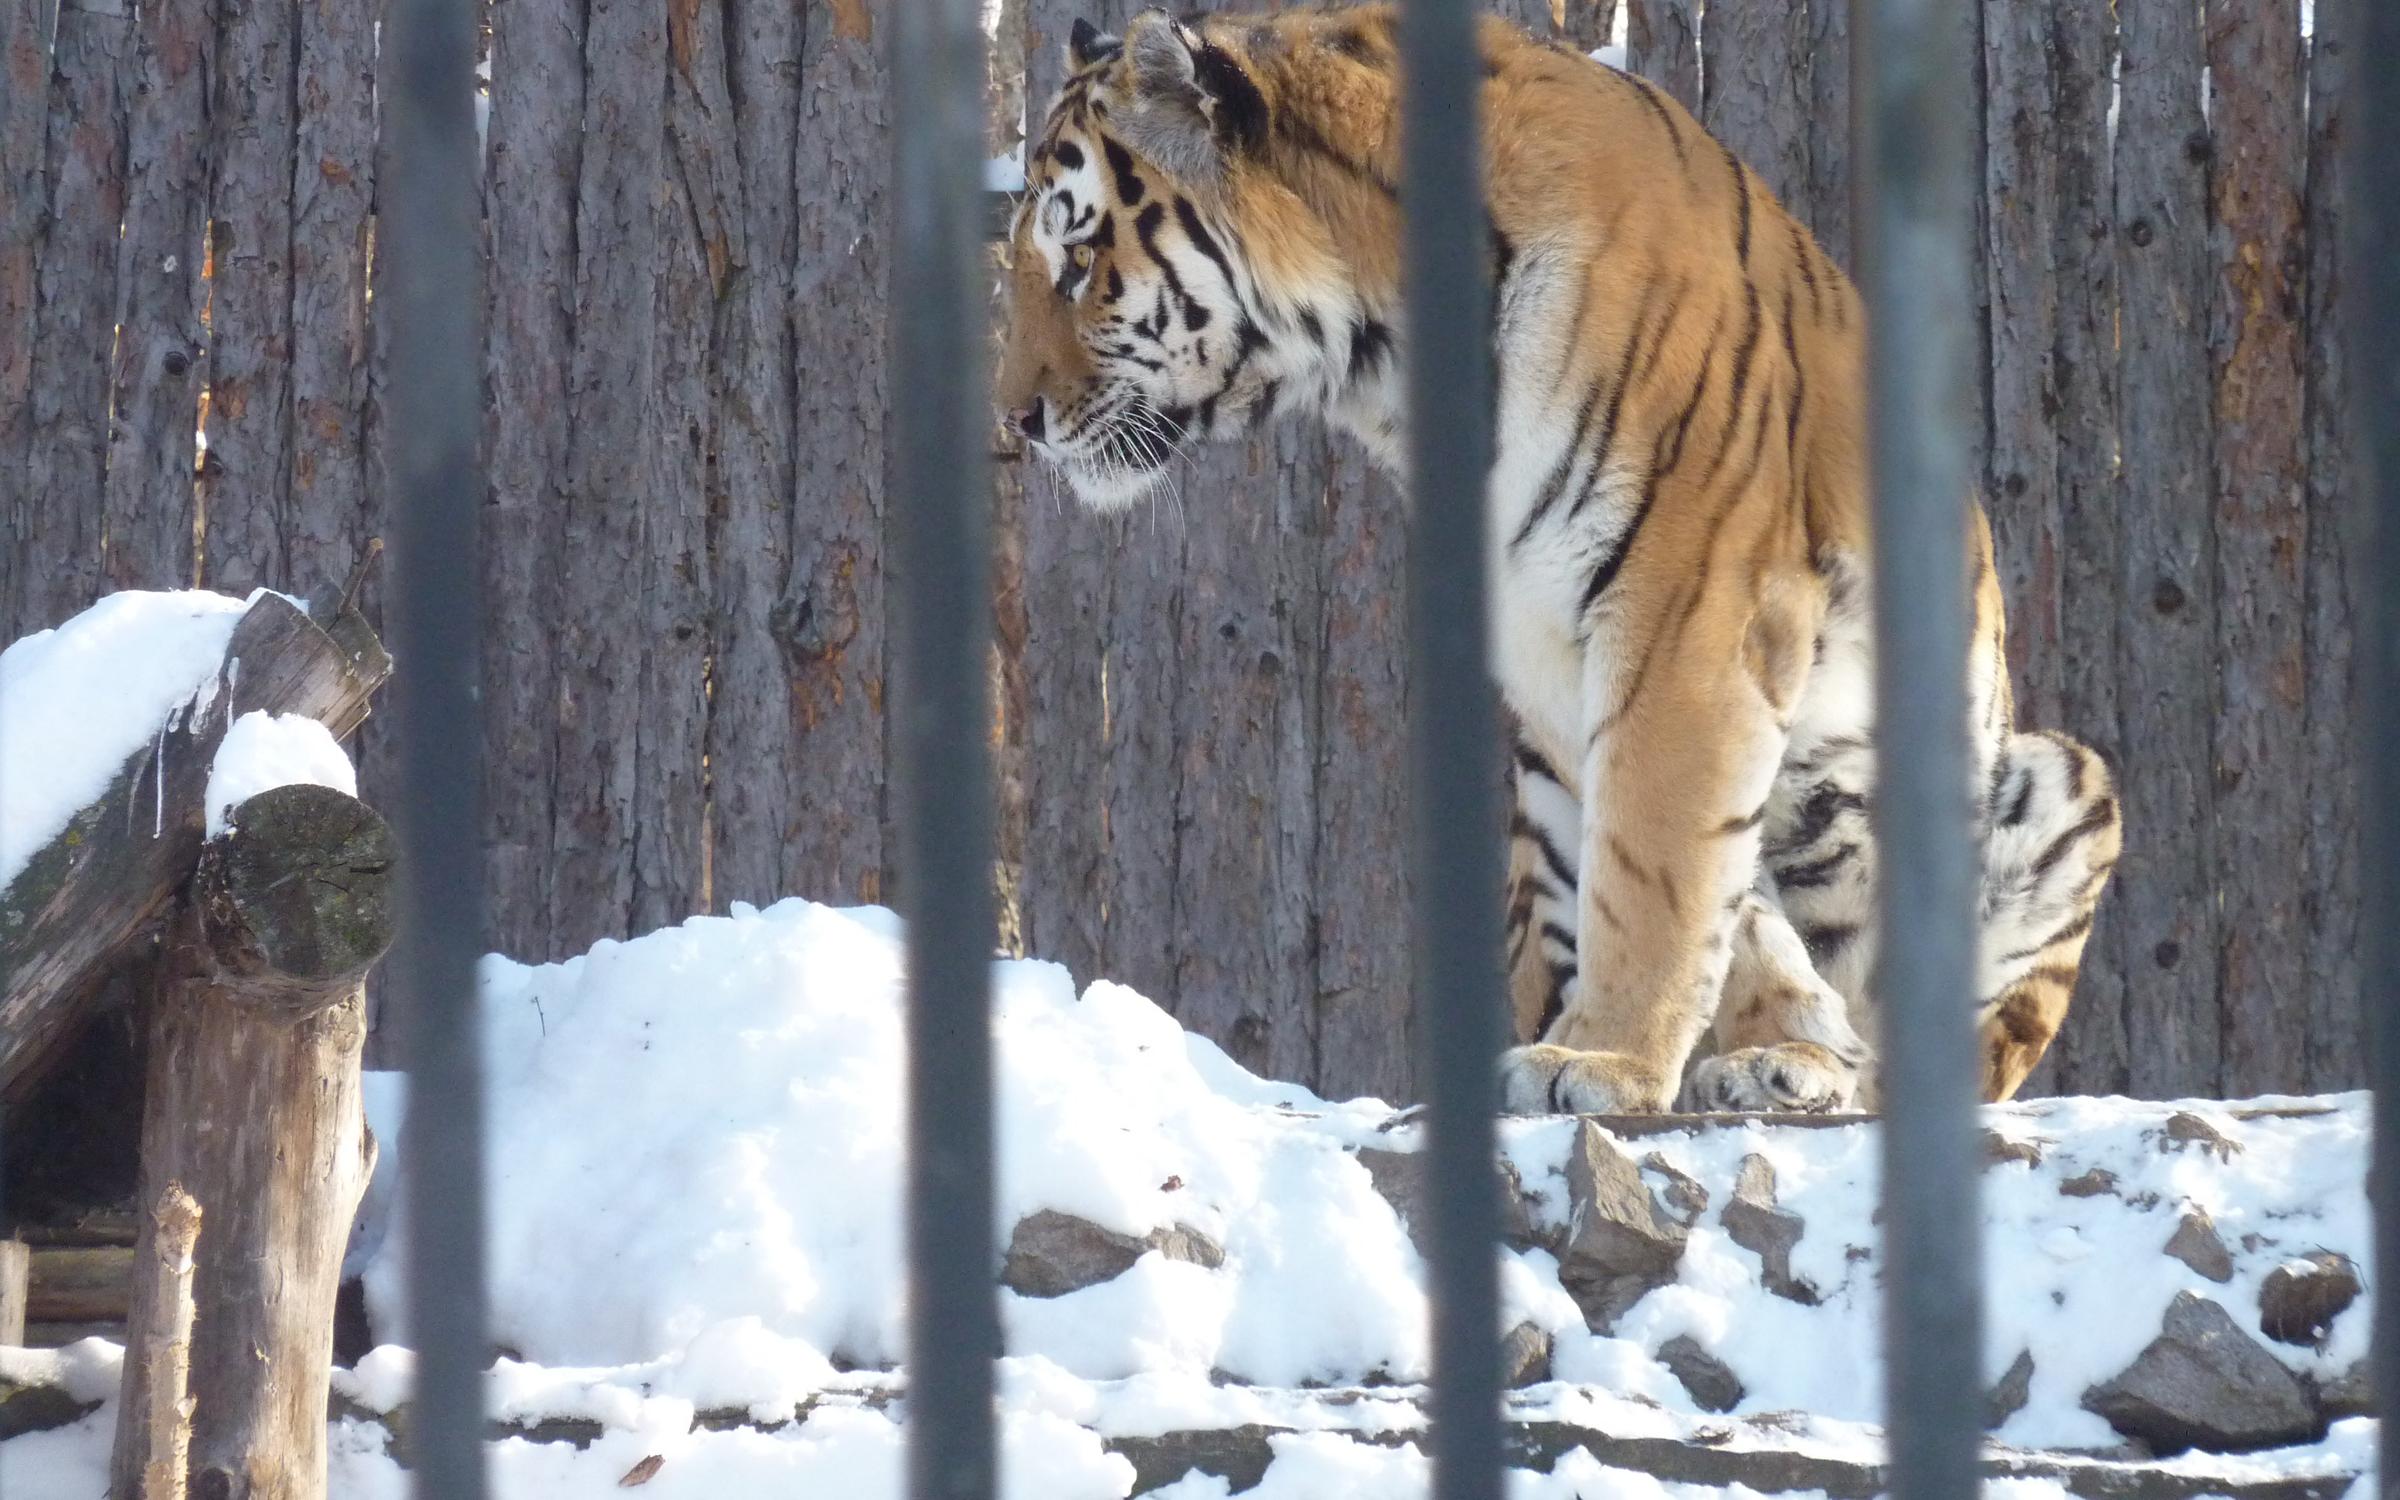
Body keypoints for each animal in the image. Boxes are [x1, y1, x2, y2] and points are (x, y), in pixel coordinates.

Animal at [993, 2, 2121, 1113]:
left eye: (1080, 262)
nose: (1017, 422)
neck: (1386, 367)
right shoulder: (1542, 633)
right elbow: (1716, 891)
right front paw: (1736, 1039)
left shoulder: (1692, 612)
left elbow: (1662, 863)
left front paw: (1605, 1060)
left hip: (2060, 781)